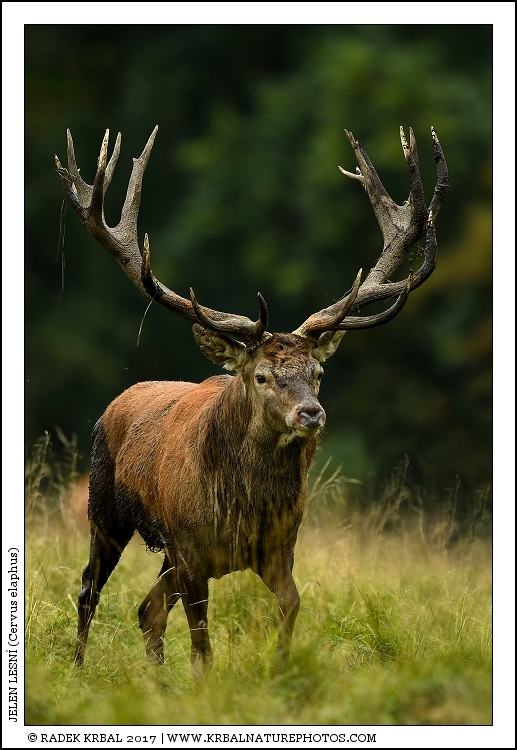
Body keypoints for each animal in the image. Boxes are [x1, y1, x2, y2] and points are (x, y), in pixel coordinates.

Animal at [54, 125, 448, 677]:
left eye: (317, 373)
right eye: (262, 375)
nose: (311, 413)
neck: (243, 507)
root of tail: (117, 402)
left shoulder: (280, 544)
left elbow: (291, 604)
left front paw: (280, 670)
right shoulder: (190, 547)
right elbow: (202, 641)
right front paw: (206, 683)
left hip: (162, 548)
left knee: (146, 608)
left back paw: (154, 679)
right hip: (105, 507)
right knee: (89, 589)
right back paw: (78, 668)